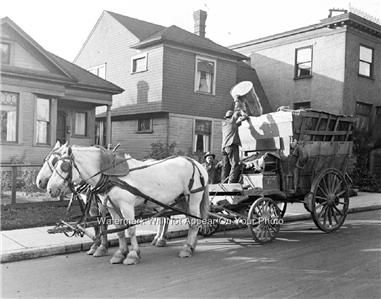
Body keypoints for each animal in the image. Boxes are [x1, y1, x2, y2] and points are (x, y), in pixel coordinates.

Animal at [46, 145, 211, 264]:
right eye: (55, 164)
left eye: (64, 167)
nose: (49, 189)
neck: (111, 175)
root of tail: (197, 163)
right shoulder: (111, 207)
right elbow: (119, 230)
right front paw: (120, 253)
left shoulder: (126, 206)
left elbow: (130, 230)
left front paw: (132, 254)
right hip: (182, 199)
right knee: (188, 221)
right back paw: (190, 245)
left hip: (194, 197)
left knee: (194, 222)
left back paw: (186, 249)